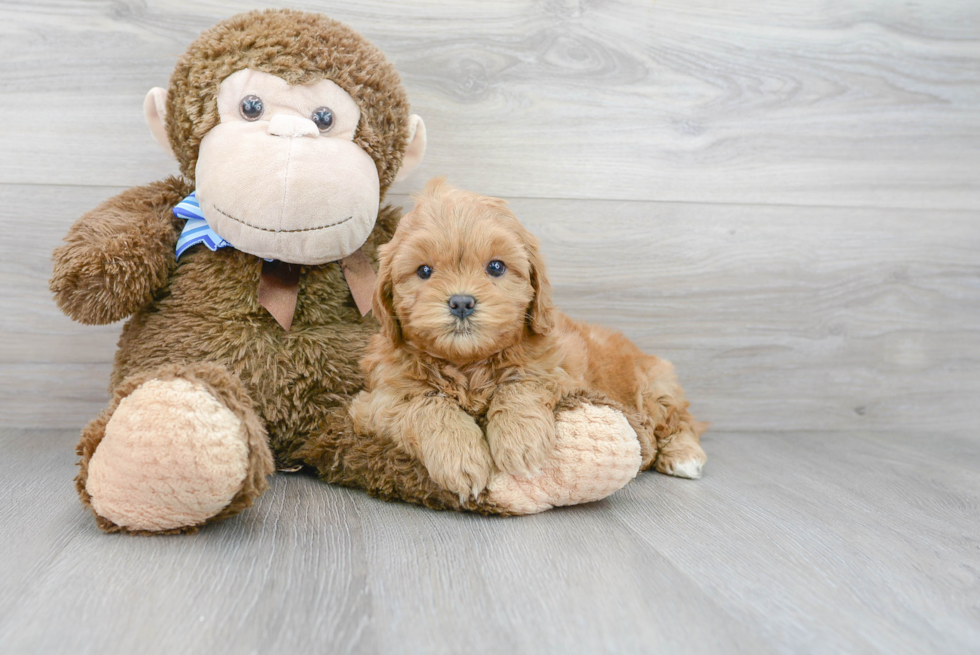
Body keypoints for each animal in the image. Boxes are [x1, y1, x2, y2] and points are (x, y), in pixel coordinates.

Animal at [352, 177, 704, 500]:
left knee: (680, 421)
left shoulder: (556, 368)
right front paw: (460, 458)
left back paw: (684, 456)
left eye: (496, 267)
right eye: (424, 271)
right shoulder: (378, 400)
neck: (468, 363)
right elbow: (427, 405)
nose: (462, 302)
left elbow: (520, 385)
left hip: (655, 388)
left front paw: (519, 441)